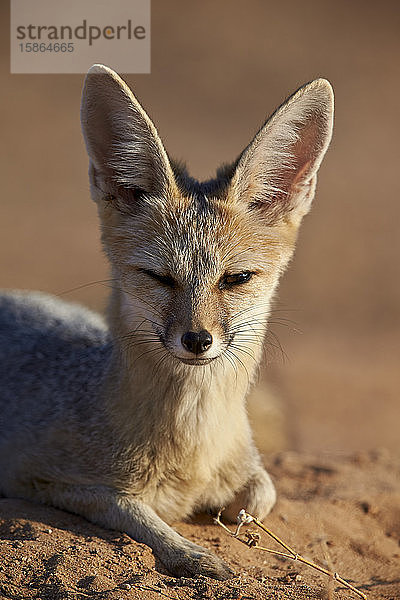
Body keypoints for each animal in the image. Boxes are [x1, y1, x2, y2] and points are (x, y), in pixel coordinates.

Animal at [0, 67, 334, 580]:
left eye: (236, 278)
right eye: (159, 277)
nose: (197, 339)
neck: (191, 449)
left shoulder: (251, 468)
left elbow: (261, 494)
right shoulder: (36, 477)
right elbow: (127, 506)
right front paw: (189, 552)